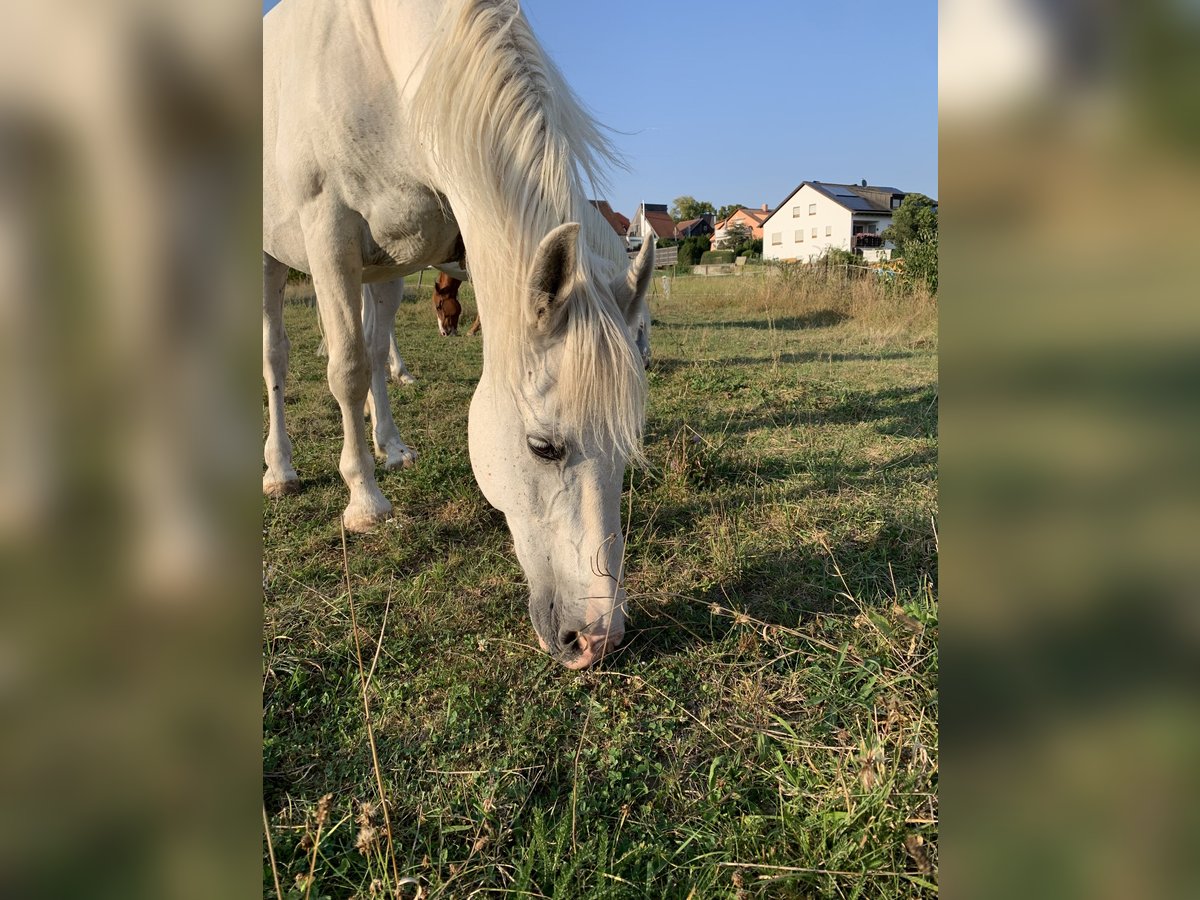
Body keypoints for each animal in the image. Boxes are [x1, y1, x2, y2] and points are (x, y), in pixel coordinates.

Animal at [265, 0, 657, 672]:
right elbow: (345, 368)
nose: (597, 640)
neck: (380, 53)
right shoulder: (327, 229)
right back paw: (280, 469)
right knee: (277, 361)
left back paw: (392, 447)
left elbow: (371, 357)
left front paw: (384, 456)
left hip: (384, 267)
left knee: (377, 351)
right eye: (543, 448)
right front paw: (363, 502)